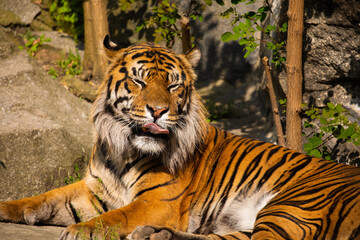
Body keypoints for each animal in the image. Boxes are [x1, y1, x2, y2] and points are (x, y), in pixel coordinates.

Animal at [0, 34, 360, 240]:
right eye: (139, 81)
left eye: (173, 85)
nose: (158, 111)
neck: (123, 150)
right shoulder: (94, 189)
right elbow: (42, 198)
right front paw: (7, 206)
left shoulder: (157, 201)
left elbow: (116, 216)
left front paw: (81, 230)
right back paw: (158, 236)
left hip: (293, 204)